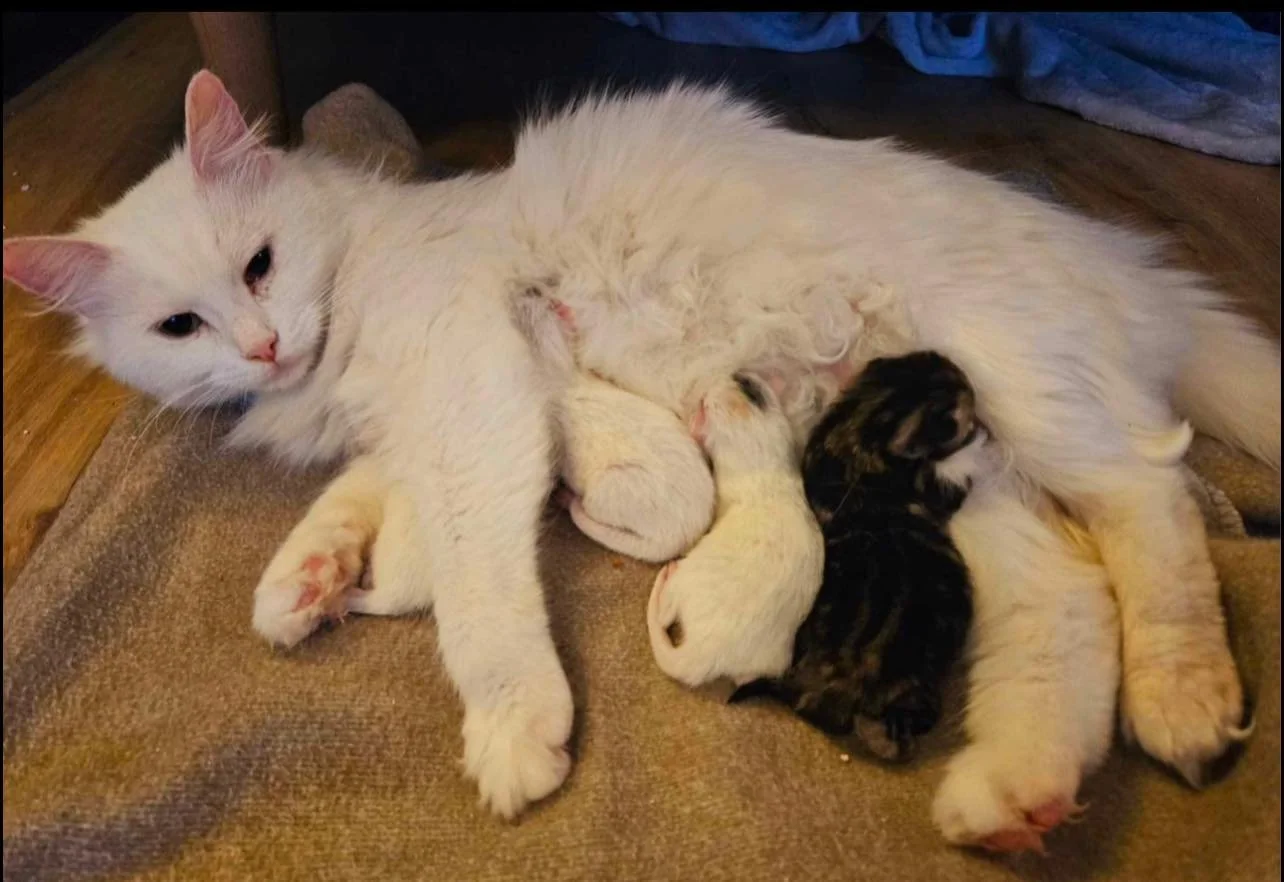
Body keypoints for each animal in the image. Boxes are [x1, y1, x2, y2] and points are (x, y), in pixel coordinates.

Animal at [646, 372, 824, 687]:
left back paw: (668, 572)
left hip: (686, 577)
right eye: (747, 385)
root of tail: (705, 653)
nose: (731, 375)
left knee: (665, 613)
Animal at [728, 351, 983, 764]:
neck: (858, 427)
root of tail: (837, 681)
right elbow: (950, 483)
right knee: (897, 728)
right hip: (915, 688)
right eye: (953, 419)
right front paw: (978, 446)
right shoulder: (930, 491)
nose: (967, 382)